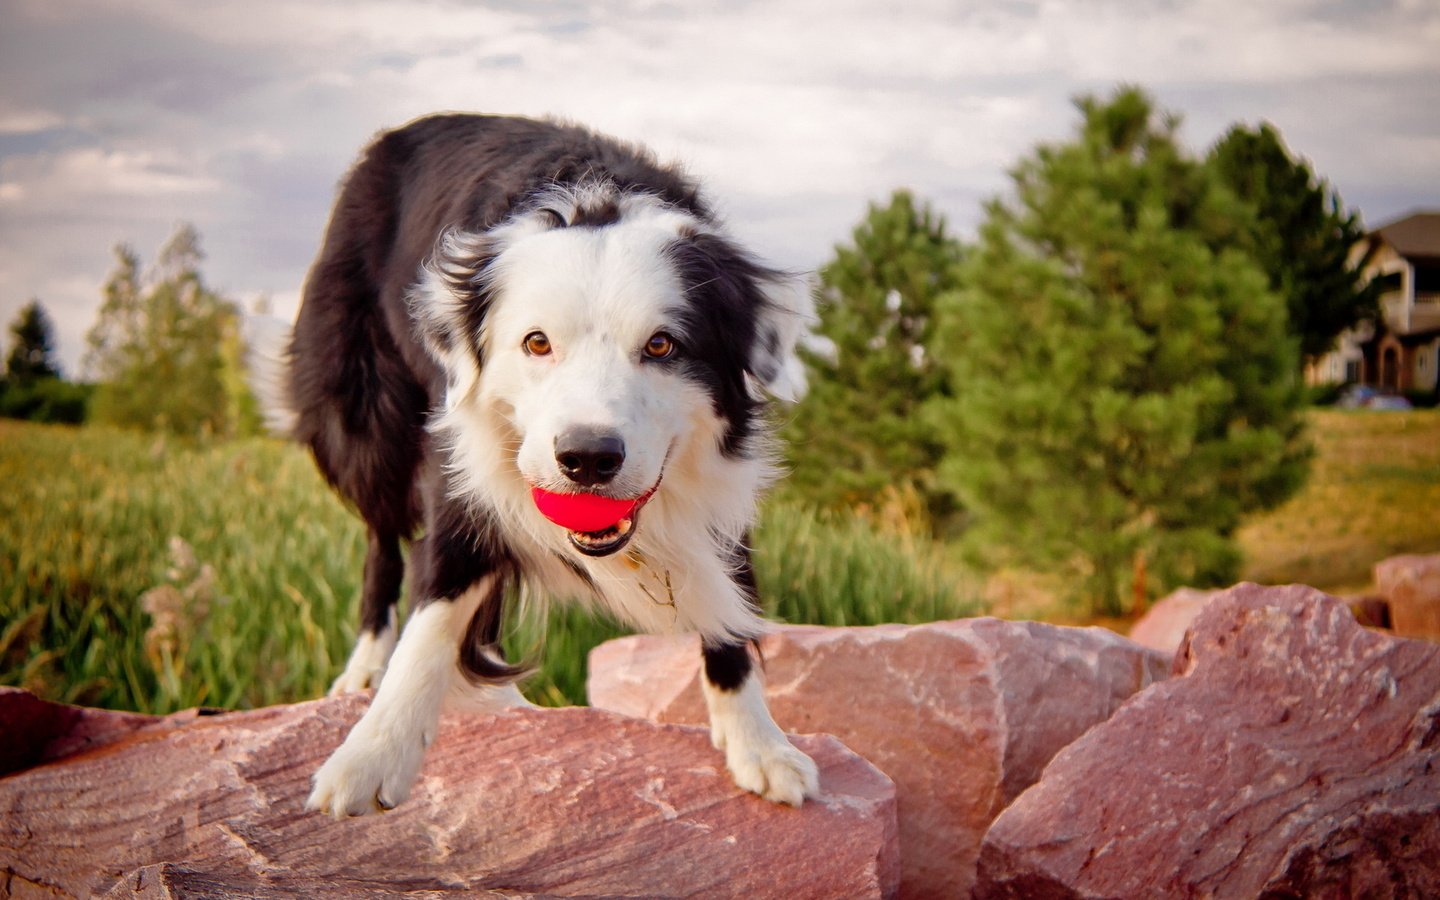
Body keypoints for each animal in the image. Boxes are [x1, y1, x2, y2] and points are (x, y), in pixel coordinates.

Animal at [285, 113, 817, 812]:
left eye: (662, 345)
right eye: (537, 343)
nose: (588, 459)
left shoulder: (717, 485)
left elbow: (731, 601)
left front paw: (759, 742)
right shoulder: (457, 467)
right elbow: (435, 609)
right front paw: (372, 755)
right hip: (363, 417)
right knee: (382, 538)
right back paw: (367, 665)